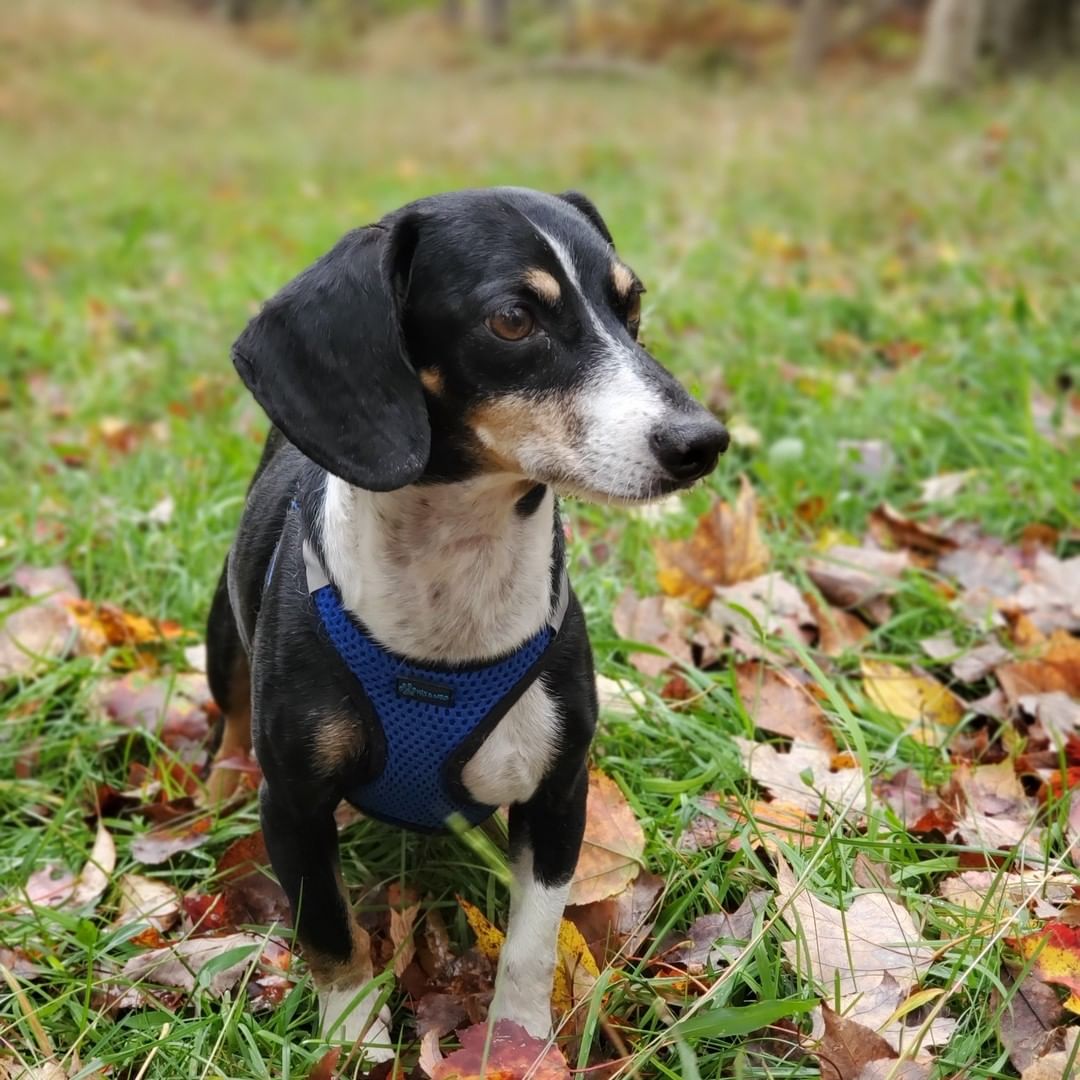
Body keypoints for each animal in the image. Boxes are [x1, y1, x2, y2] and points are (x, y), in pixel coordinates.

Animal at [204, 187, 725, 1062]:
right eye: (512, 319)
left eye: (631, 304)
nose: (703, 441)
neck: (453, 597)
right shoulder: (296, 806)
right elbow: (330, 933)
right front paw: (355, 1039)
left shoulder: (558, 794)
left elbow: (532, 943)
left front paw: (519, 1042)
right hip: (223, 641)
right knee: (231, 714)